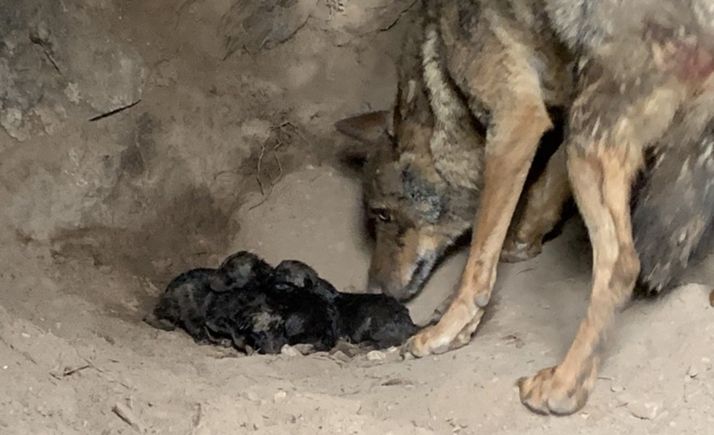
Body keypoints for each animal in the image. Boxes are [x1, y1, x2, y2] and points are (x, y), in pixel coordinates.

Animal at [337, 0, 714, 414]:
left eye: (382, 214)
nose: (374, 290)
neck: (440, 71)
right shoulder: (561, 110)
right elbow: (545, 181)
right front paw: (524, 236)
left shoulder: (516, 122)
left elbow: (478, 261)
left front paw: (447, 329)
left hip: (590, 143)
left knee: (622, 265)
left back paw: (564, 386)